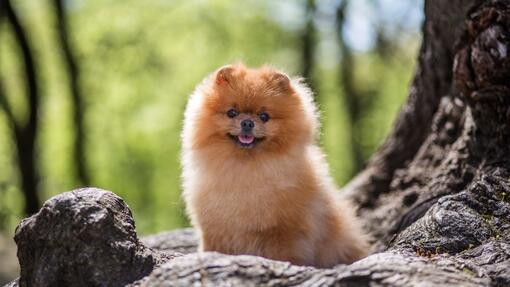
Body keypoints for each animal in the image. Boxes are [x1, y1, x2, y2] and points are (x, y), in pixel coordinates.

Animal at [181, 63, 368, 268]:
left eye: (264, 116)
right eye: (232, 113)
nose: (247, 123)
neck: (246, 168)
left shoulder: (284, 231)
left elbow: (283, 254)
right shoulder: (215, 229)